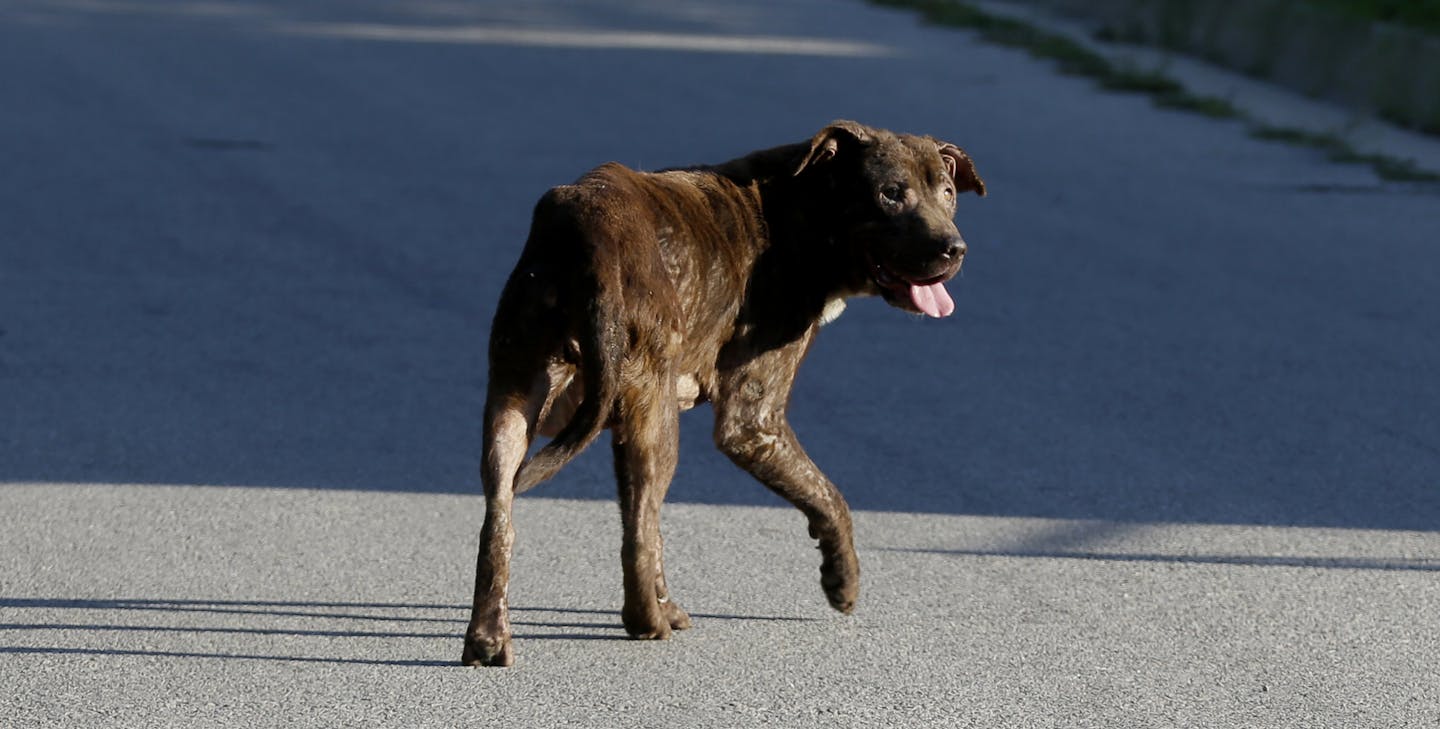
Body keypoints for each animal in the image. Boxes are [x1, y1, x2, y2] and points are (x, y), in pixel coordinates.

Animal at [466, 118, 984, 665]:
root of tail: (587, 233)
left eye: (947, 193)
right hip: (656, 429)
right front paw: (843, 580)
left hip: (515, 406)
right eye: (890, 194)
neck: (799, 213)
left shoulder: (628, 422)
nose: (954, 249)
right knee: (636, 534)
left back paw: (489, 637)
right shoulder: (754, 423)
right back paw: (645, 623)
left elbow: (648, 527)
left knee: (502, 519)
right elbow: (829, 496)